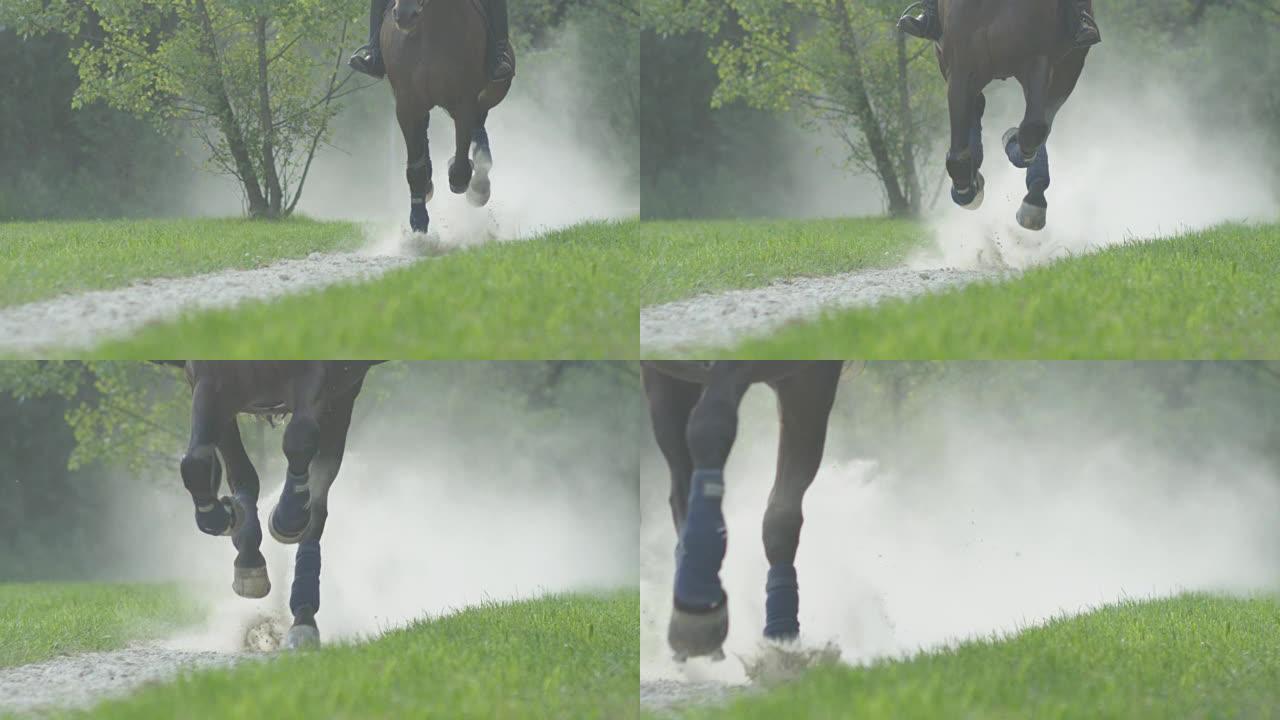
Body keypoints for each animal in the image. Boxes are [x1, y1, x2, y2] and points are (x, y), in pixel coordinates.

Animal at [162, 361, 378, 648]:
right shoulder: (210, 381)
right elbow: (198, 464)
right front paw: (234, 526)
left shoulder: (321, 380)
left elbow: (300, 439)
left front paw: (286, 518)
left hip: (340, 398)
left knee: (317, 503)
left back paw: (303, 617)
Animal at [381, 0, 512, 233]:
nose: (405, 15)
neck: (429, 30)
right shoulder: (407, 105)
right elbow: (415, 168)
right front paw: (418, 223)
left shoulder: (464, 102)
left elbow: (460, 169)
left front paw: (465, 181)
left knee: (478, 129)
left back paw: (480, 185)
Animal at [936, 0, 1095, 229]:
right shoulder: (959, 66)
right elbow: (958, 153)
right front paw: (966, 190)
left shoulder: (1038, 58)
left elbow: (1031, 130)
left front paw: (1011, 140)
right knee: (977, 105)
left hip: (1068, 69)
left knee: (1042, 122)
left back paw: (1034, 198)